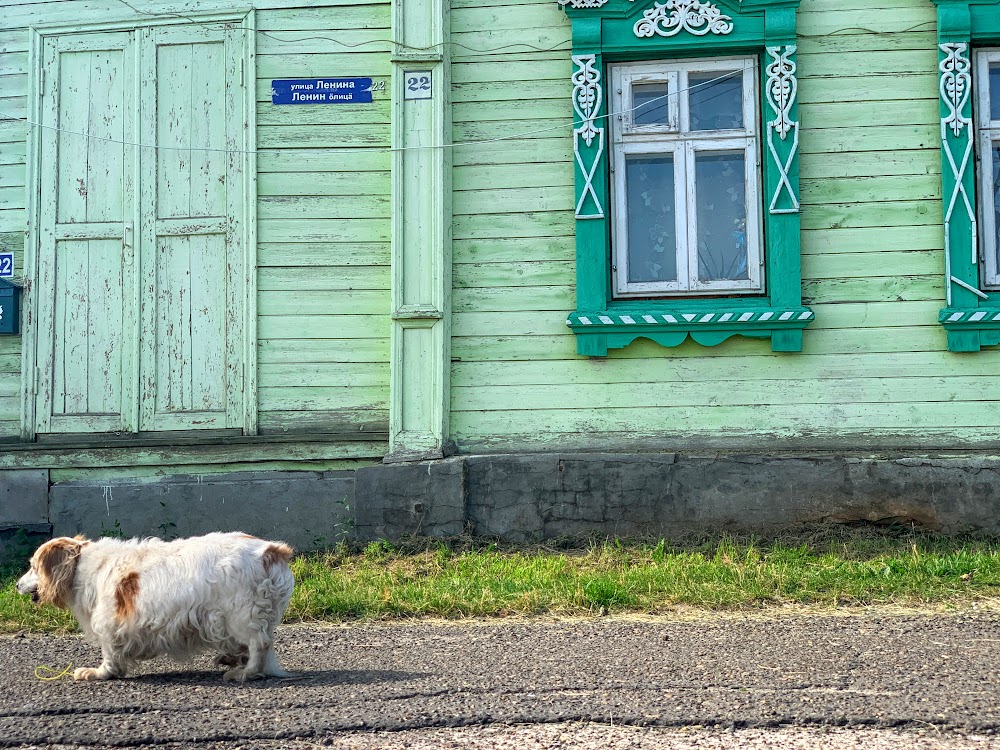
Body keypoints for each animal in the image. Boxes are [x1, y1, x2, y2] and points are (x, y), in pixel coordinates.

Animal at [15, 532, 294, 684]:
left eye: (33, 567)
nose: (16, 585)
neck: (82, 566)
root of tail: (271, 551)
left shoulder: (108, 623)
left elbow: (110, 655)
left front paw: (99, 673)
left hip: (241, 615)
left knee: (259, 645)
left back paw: (245, 672)